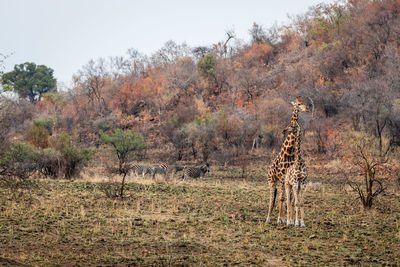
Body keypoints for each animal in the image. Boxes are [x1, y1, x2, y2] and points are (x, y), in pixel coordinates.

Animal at [268, 97, 310, 225]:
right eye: (298, 104)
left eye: (304, 102)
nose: (307, 108)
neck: (289, 152)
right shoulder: (284, 178)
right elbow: (282, 198)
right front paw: (280, 219)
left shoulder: (294, 180)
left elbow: (291, 200)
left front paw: (290, 220)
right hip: (272, 180)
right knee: (272, 198)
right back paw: (269, 218)